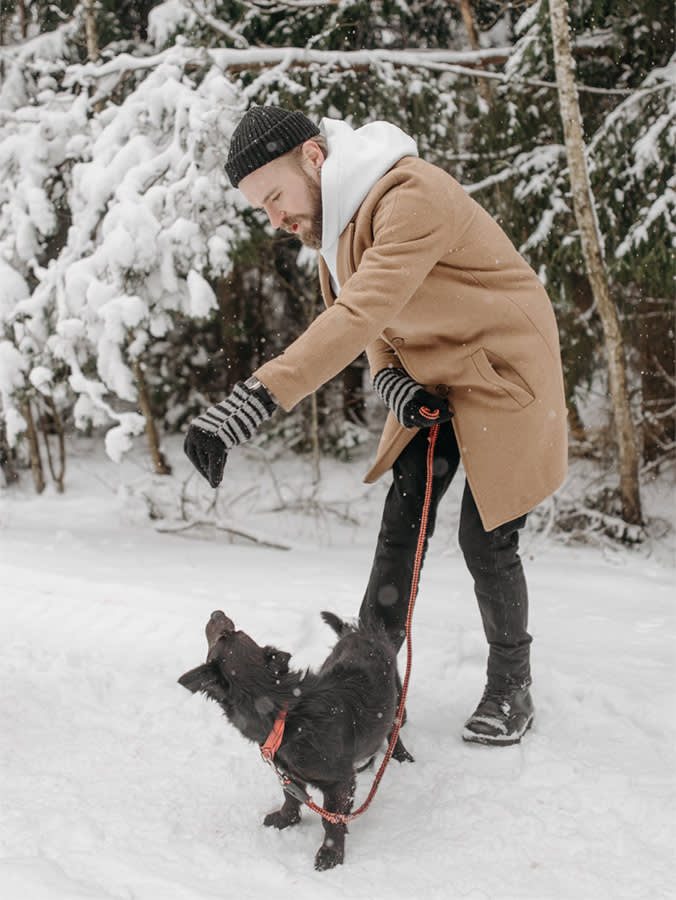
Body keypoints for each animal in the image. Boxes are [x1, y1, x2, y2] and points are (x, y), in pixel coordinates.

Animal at [180, 608, 410, 868]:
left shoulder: (340, 782)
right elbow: (291, 796)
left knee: (394, 729)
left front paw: (331, 853)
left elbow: (331, 820)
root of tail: (363, 631)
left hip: (396, 697)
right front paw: (285, 819)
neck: (282, 715)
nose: (216, 612)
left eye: (227, 635)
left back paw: (400, 755)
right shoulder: (288, 772)